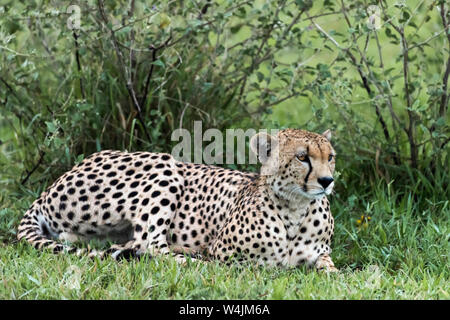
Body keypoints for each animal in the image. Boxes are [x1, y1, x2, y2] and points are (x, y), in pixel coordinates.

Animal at [18, 129, 338, 272]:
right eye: (302, 157)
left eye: (330, 157)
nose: (327, 181)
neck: (294, 210)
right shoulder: (227, 254)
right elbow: (249, 264)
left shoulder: (319, 253)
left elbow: (328, 267)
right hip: (163, 166)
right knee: (150, 245)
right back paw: (194, 258)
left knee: (127, 243)